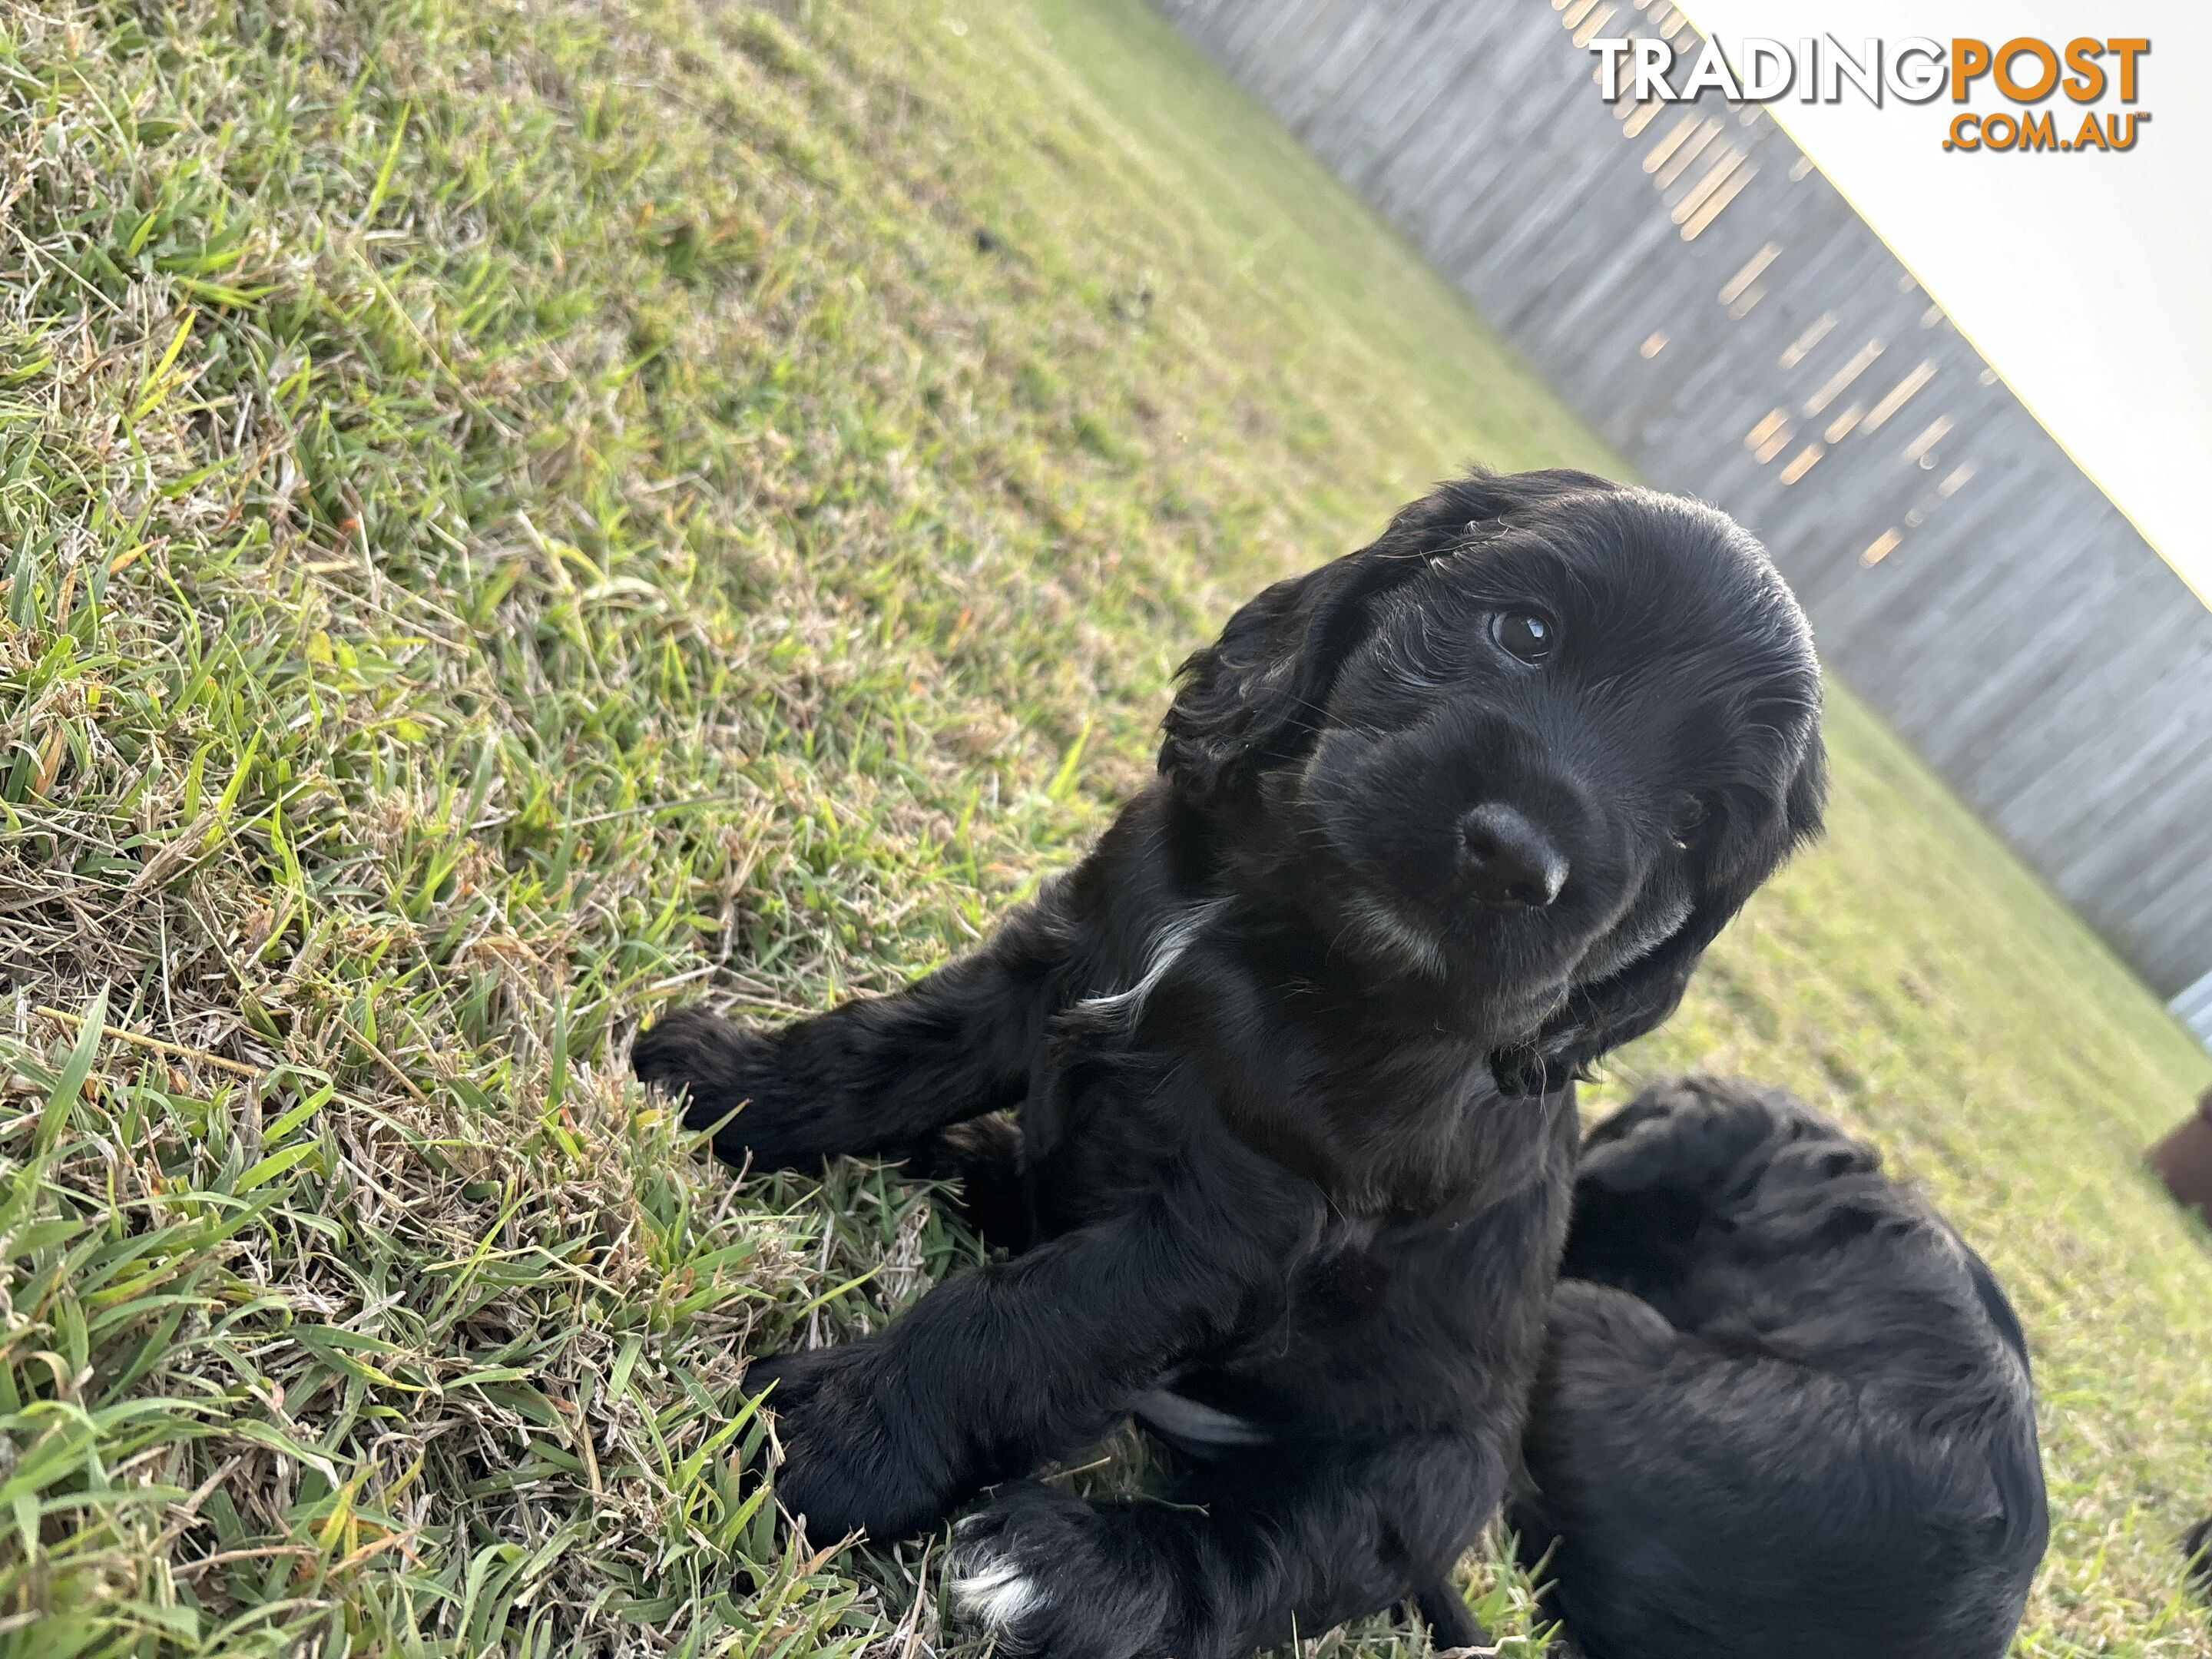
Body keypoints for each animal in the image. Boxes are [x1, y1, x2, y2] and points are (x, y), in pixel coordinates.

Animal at [632, 471, 1823, 1659]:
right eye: (1524, 632)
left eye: (1690, 827)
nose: (1517, 860)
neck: (1289, 922)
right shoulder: (1061, 962)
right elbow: (894, 1044)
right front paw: (723, 1084)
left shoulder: (1242, 1218)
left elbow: (1040, 1317)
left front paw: (833, 1437)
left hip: (1424, 1472)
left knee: (1270, 1549)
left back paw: (1069, 1573)